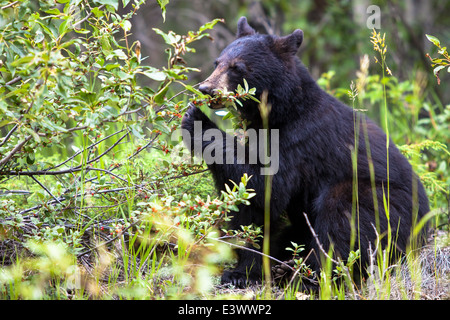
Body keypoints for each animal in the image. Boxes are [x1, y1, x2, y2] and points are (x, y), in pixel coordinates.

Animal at [180, 16, 428, 288]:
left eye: (237, 67)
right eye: (217, 63)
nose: (206, 88)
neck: (280, 112)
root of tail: (424, 231)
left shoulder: (302, 139)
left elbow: (269, 187)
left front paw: (199, 120)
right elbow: (250, 203)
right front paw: (241, 272)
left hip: (387, 204)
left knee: (343, 215)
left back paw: (312, 278)